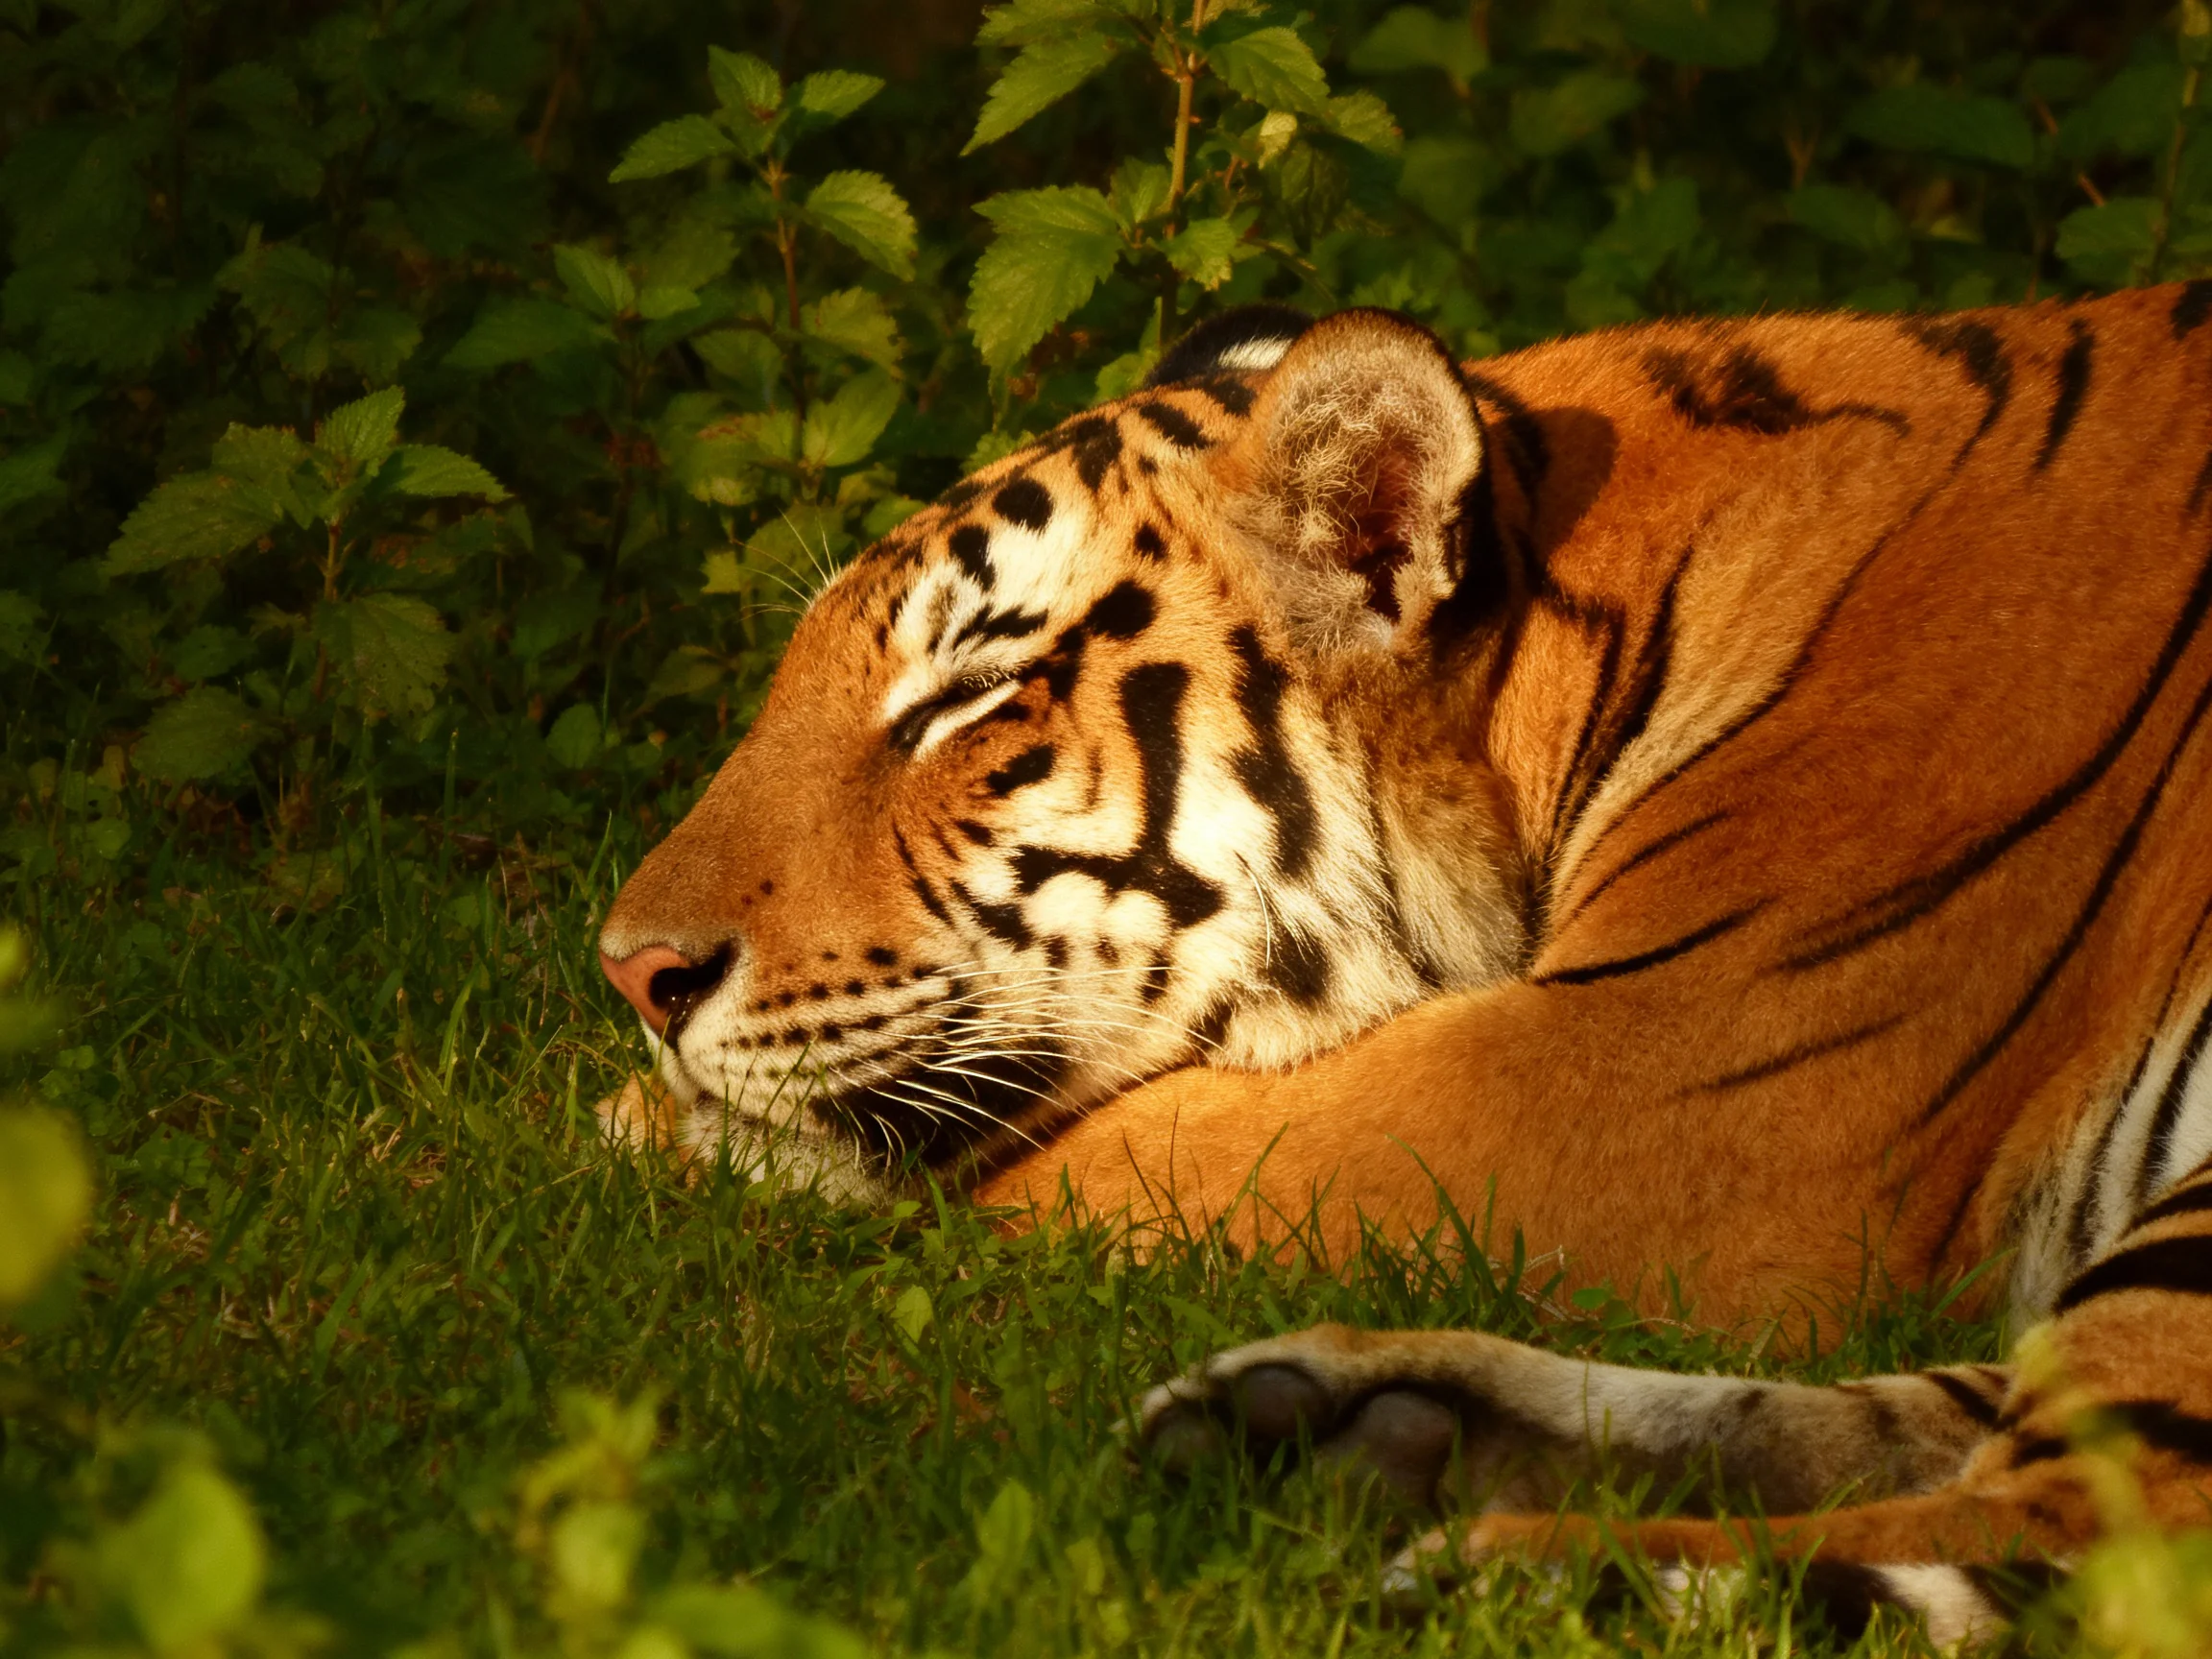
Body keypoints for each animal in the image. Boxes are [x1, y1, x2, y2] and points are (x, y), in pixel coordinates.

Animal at [598, 282, 2212, 1642]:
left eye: (974, 698)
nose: (630, 975)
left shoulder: (1624, 1090)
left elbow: (1103, 1161)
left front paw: (638, 1131)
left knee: (2082, 1534)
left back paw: (1522, 1577)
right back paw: (1342, 1433)